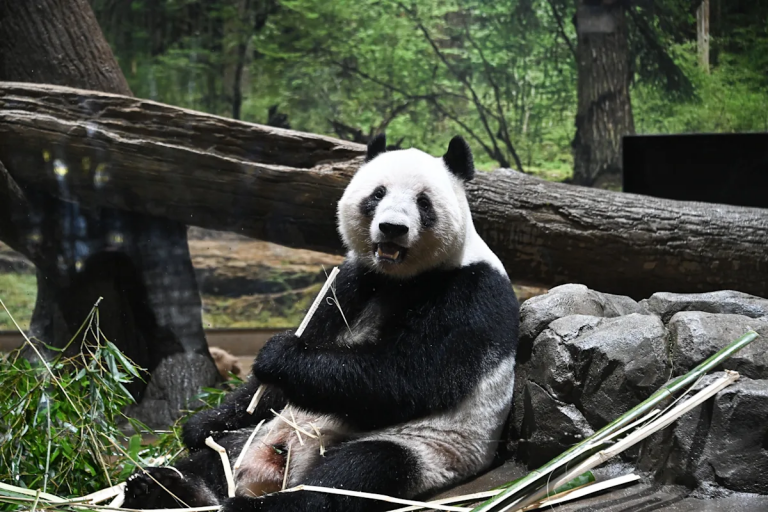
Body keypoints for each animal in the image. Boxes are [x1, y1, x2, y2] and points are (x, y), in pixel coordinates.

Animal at [122, 134, 519, 512]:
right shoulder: (352, 281)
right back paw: (165, 488)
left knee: (356, 473)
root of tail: (276, 469)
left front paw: (279, 355)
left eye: (424, 202)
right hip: (259, 433)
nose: (392, 228)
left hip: (427, 449)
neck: (400, 279)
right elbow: (273, 386)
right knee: (216, 458)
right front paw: (199, 424)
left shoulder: (468, 293)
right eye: (378, 193)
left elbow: (407, 377)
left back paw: (256, 506)